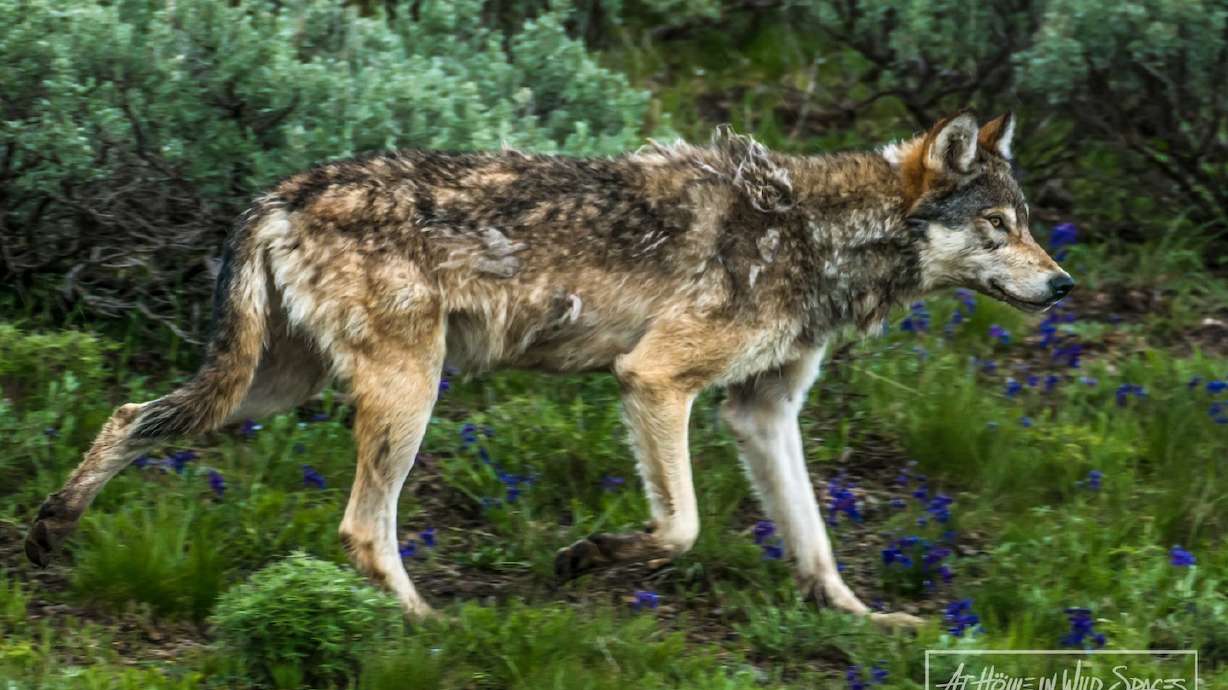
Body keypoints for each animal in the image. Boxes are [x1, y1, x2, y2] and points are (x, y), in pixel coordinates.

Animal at [26, 112, 1071, 627]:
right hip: (404, 394)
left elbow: (815, 543)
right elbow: (681, 528)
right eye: (998, 225)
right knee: (363, 529)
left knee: (128, 413)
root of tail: (278, 192)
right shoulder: (654, 381)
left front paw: (866, 620)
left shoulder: (760, 414)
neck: (818, 235)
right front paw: (586, 558)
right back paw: (431, 627)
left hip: (271, 391)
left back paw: (50, 530)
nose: (1063, 285)